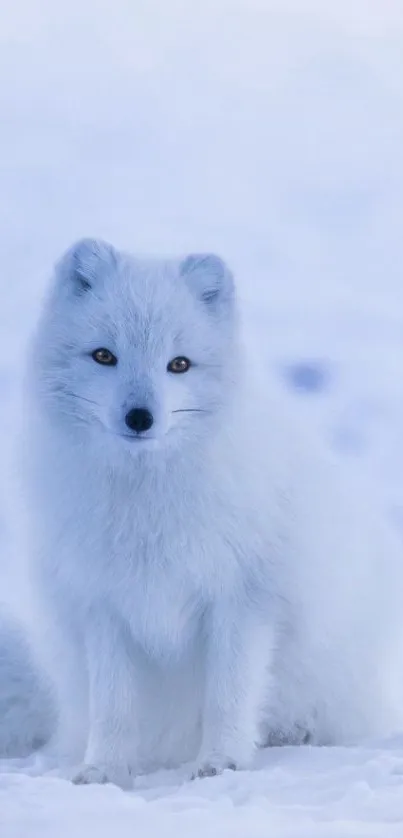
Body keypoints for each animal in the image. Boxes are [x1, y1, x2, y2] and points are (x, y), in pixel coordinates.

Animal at [18, 240, 403, 792]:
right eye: (104, 356)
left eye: (179, 364)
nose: (140, 417)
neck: (147, 501)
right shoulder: (103, 605)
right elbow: (114, 705)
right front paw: (104, 771)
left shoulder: (242, 599)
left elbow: (229, 693)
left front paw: (222, 764)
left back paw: (295, 733)